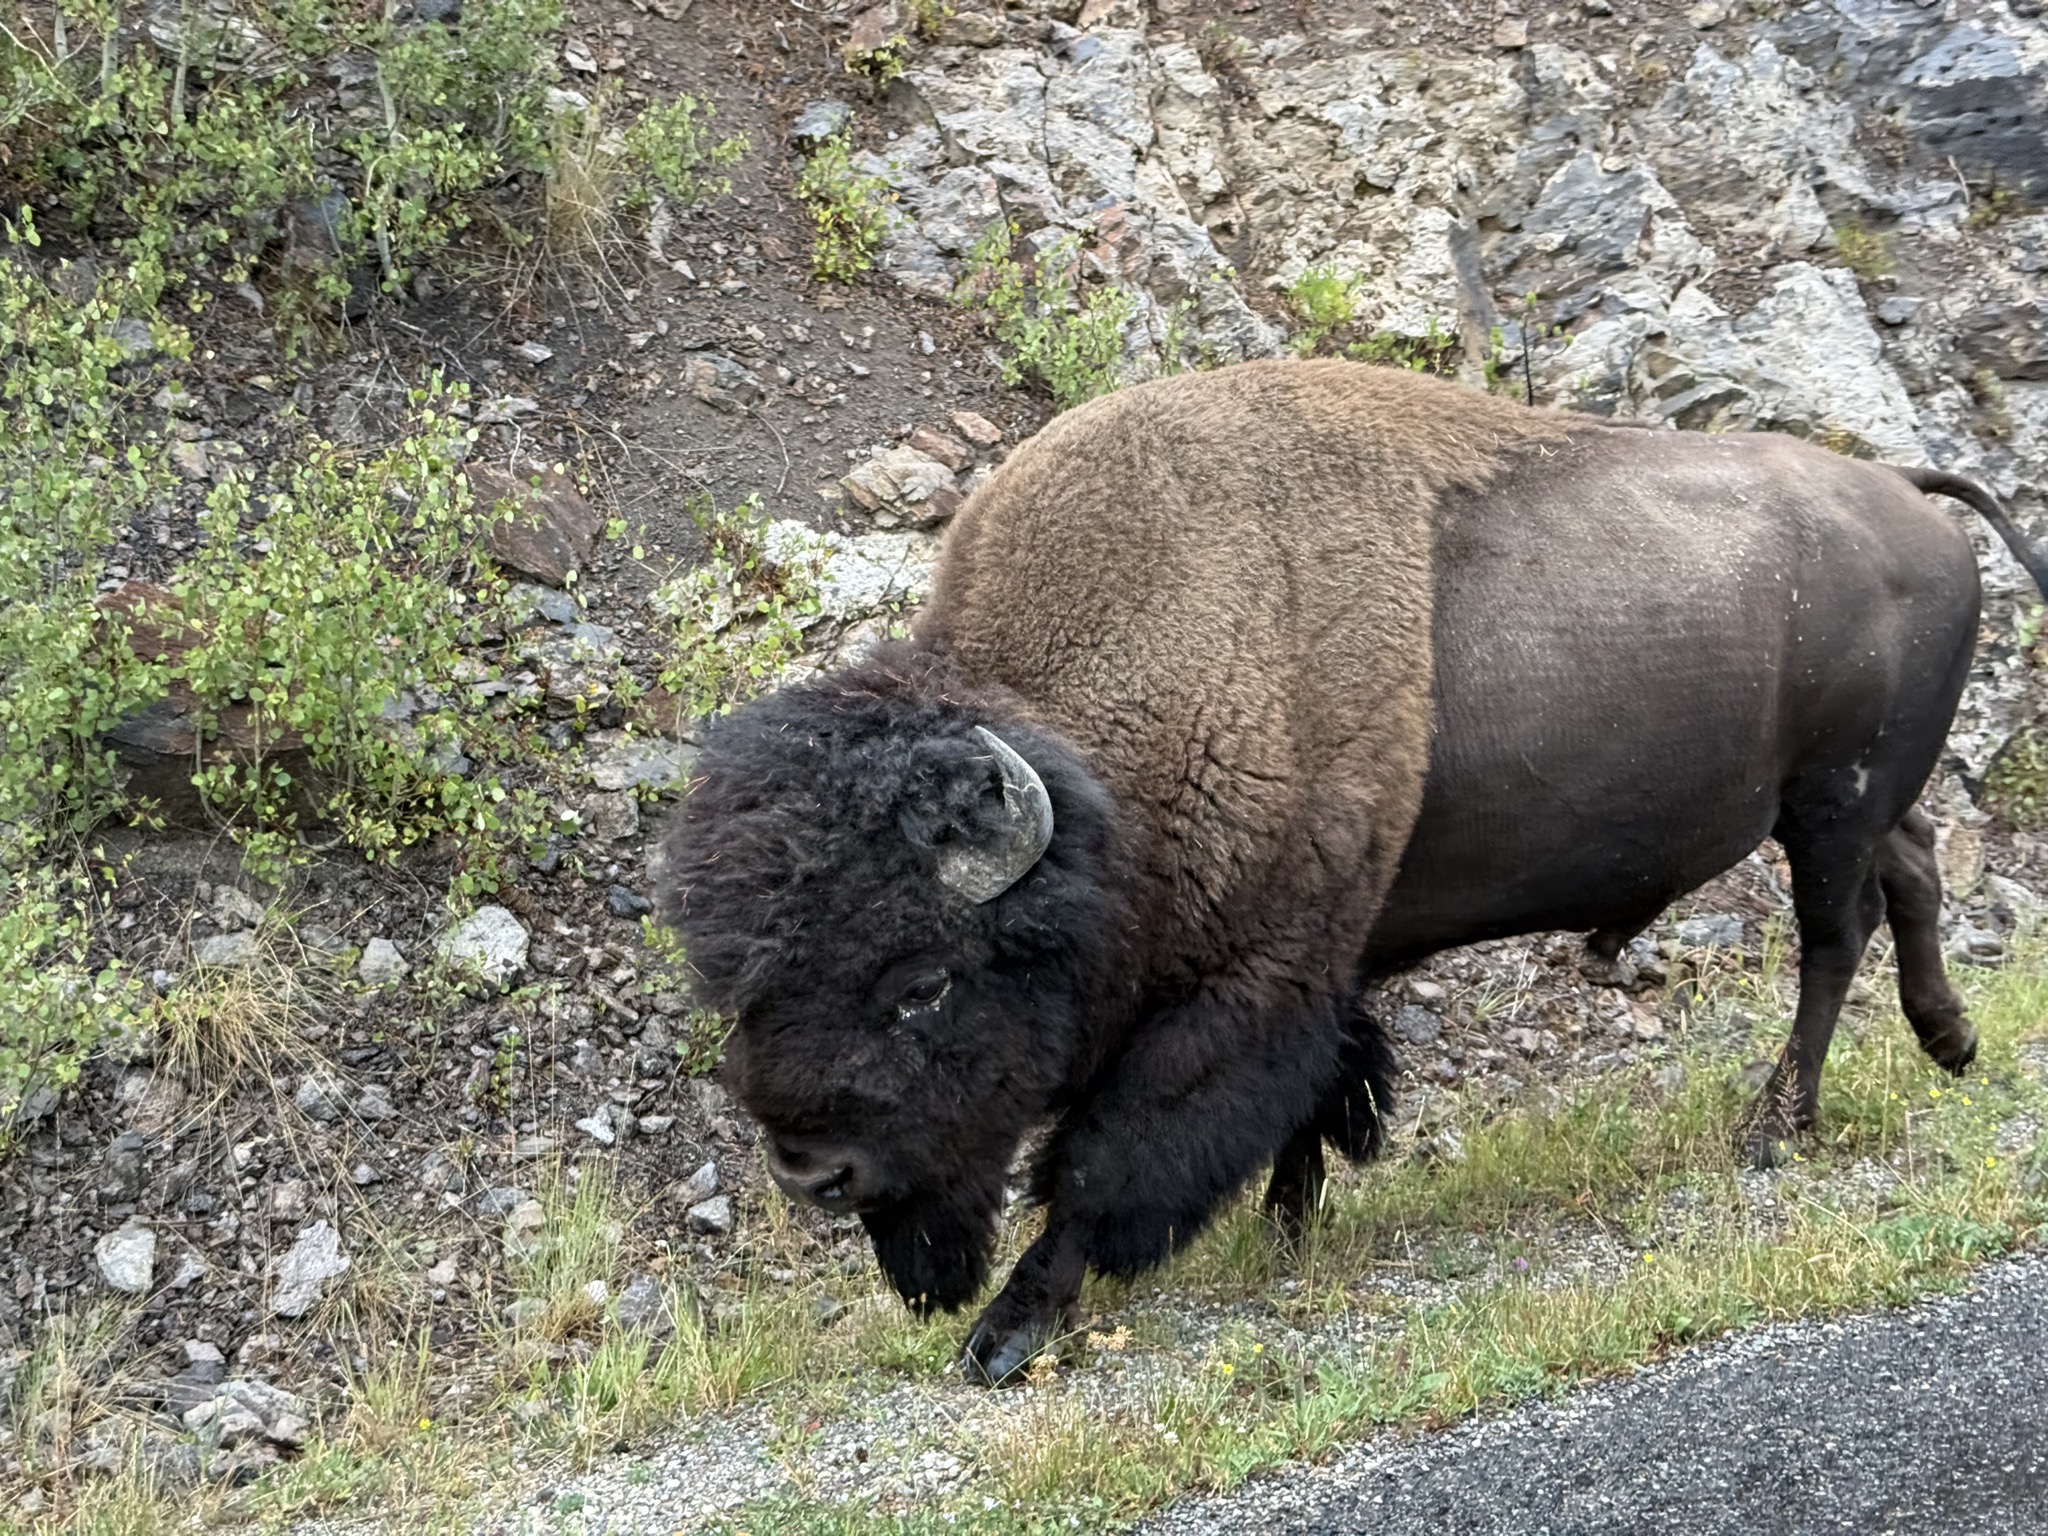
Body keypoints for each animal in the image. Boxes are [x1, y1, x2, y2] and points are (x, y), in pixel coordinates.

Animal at [660, 360, 2044, 1384]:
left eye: (920, 986)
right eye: (740, 984)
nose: (810, 1172)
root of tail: (1905, 492)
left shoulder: (1241, 985)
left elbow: (1113, 1156)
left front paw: (1009, 1334)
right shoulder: (1320, 962)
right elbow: (1318, 1092)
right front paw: (1289, 1228)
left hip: (1824, 805)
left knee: (1831, 935)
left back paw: (1774, 1126)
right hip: (1851, 803)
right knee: (1912, 872)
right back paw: (1950, 1044)